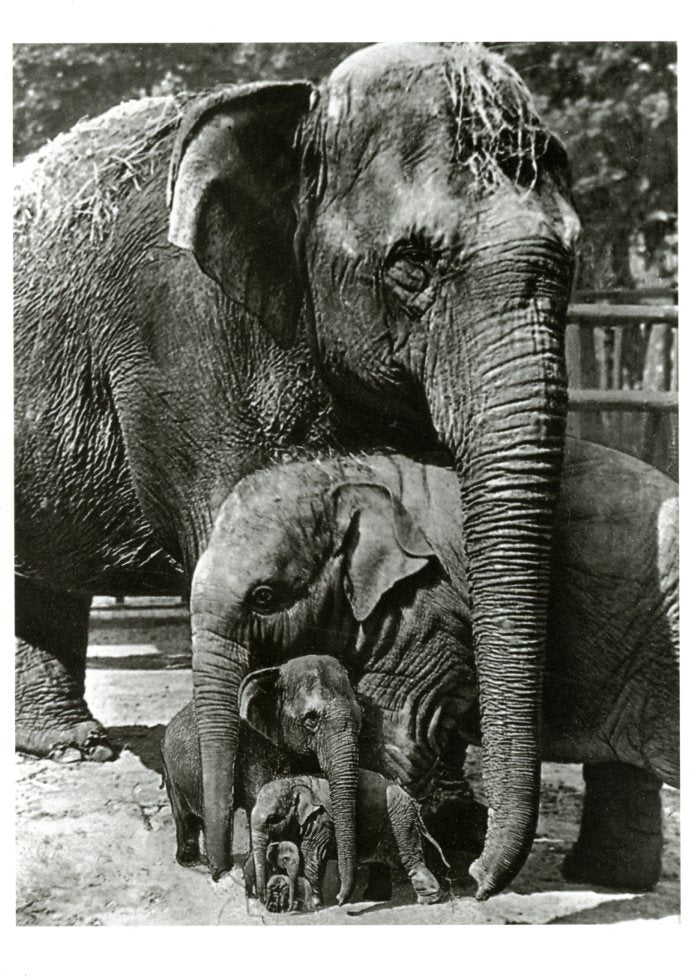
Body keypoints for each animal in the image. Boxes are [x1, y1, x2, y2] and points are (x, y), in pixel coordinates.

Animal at [250, 772, 446, 912]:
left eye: (273, 818)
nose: (264, 904)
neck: (293, 781)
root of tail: (412, 800)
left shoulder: (320, 823)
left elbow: (312, 857)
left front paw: (313, 906)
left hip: (400, 822)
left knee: (406, 858)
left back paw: (428, 900)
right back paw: (375, 897)